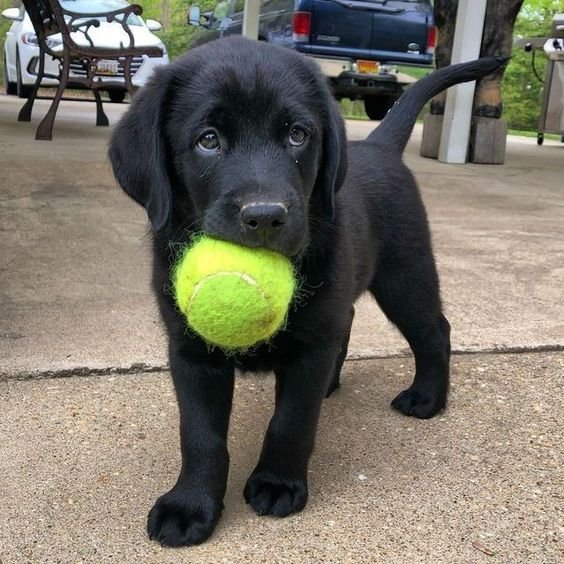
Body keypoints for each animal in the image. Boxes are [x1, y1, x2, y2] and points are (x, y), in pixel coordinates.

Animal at [108, 38, 504, 548]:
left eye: (297, 135)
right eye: (208, 140)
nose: (265, 216)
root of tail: (379, 144)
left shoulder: (311, 345)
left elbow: (292, 419)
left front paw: (278, 483)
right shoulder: (191, 350)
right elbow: (199, 435)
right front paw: (190, 504)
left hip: (404, 273)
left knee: (434, 330)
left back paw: (427, 398)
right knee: (352, 321)